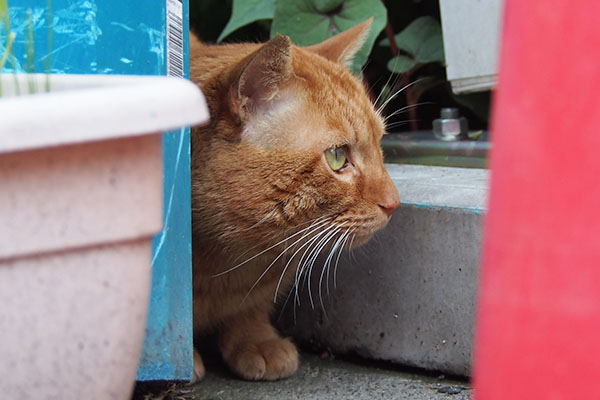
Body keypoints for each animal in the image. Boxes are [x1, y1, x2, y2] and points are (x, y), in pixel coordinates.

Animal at [190, 19, 400, 382]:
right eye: (337, 156)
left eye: (379, 143)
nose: (394, 203)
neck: (227, 270)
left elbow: (249, 312)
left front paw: (256, 339)